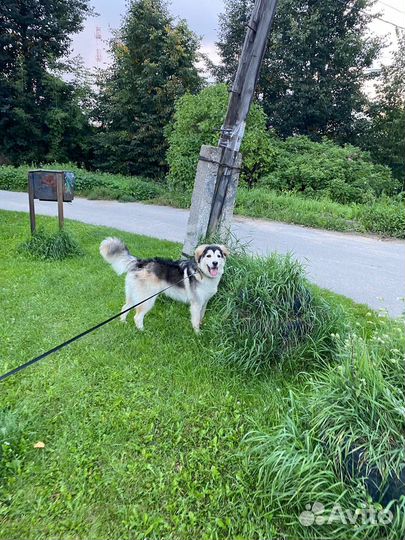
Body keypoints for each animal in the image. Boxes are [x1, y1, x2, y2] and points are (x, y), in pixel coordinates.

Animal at [98, 237, 227, 332]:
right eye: (208, 256)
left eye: (218, 256)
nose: (215, 263)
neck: (202, 273)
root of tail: (141, 262)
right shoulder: (196, 304)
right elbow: (195, 321)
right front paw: (198, 334)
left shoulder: (204, 303)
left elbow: (201, 317)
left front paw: (201, 327)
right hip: (147, 299)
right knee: (137, 317)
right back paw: (143, 331)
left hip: (133, 295)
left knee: (125, 308)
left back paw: (123, 322)